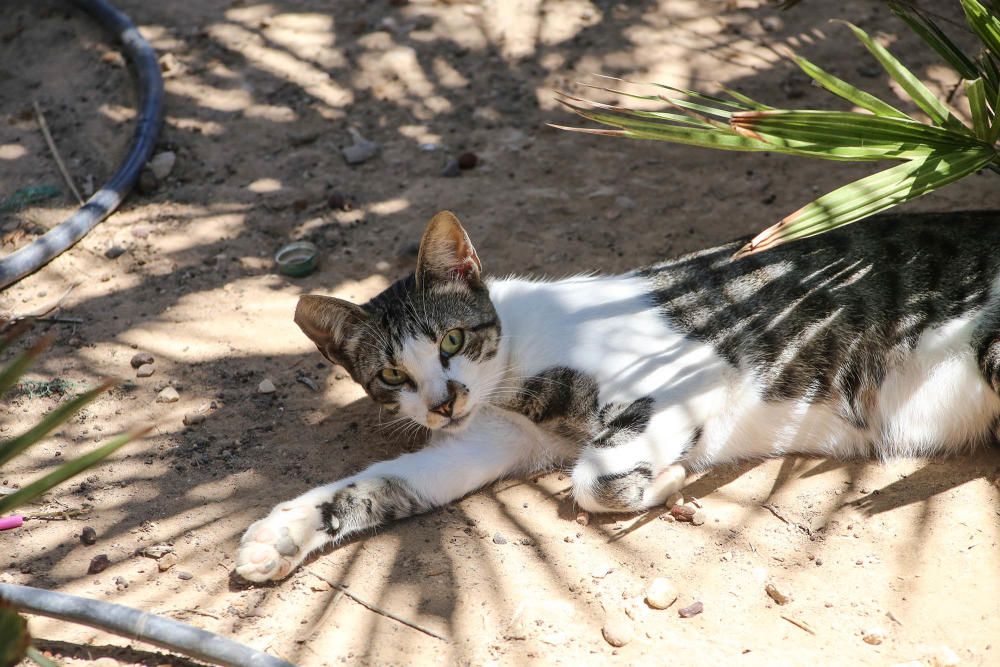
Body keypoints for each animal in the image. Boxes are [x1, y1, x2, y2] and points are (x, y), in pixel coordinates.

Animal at [236, 211, 1000, 580]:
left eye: (452, 338)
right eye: (392, 375)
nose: (442, 401)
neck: (513, 384)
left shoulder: (685, 372)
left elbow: (592, 478)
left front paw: (666, 479)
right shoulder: (482, 443)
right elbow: (376, 483)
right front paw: (281, 533)